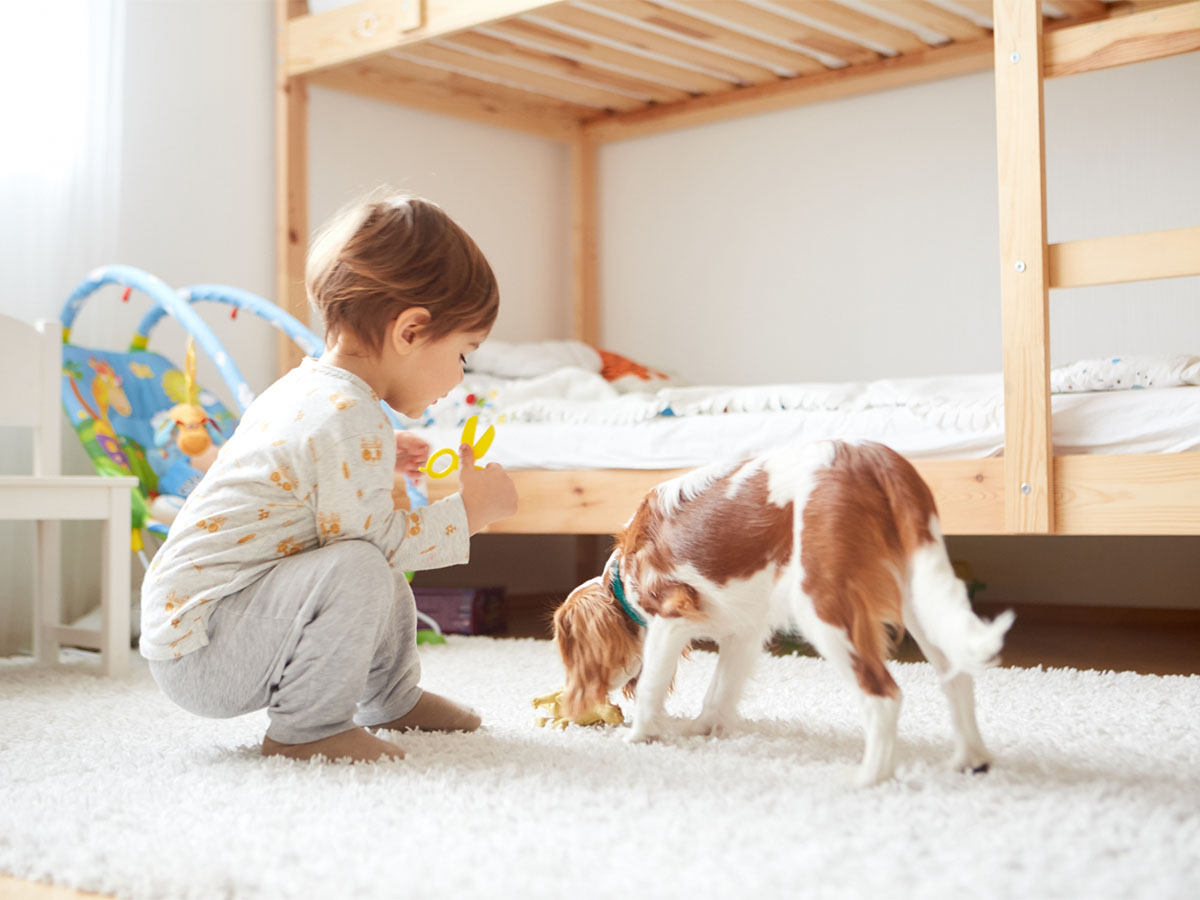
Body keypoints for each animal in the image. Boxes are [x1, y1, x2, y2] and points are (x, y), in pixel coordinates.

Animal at [552, 441, 1012, 787]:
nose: (575, 702)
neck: (621, 575)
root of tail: (871, 456)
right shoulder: (742, 631)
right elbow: (719, 690)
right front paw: (702, 729)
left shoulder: (669, 615)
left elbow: (650, 686)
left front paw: (638, 736)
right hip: (919, 595)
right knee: (957, 679)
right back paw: (970, 760)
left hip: (824, 608)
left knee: (884, 696)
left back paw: (868, 778)